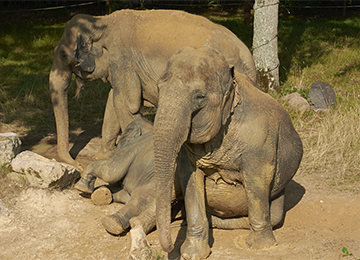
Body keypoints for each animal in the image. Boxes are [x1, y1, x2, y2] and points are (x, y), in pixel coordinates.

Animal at [49, 8, 256, 169]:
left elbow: (126, 103)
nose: (76, 164)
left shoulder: (122, 57)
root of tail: (248, 59)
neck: (101, 21)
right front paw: (104, 156)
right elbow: (113, 101)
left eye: (64, 55)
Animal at [74, 118, 294, 258]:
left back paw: (111, 222)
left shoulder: (131, 151)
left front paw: (87, 189)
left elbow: (113, 172)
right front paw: (103, 194)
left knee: (133, 192)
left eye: (121, 140)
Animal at [153, 45, 304, 258]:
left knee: (273, 216)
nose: (168, 249)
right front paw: (192, 254)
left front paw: (261, 247)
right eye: (159, 88)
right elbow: (190, 179)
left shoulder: (260, 139)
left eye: (200, 96)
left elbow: (257, 180)